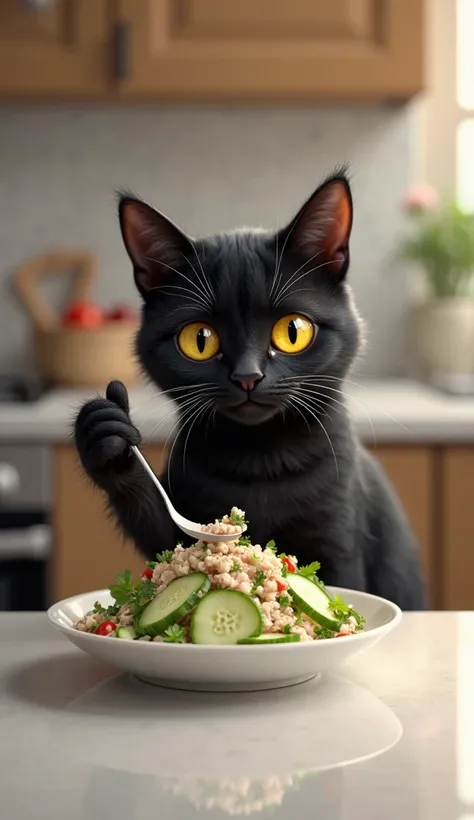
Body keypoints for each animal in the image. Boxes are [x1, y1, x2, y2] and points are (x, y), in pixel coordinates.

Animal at [75, 171, 426, 608]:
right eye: (200, 339)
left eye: (293, 331)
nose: (247, 375)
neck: (259, 458)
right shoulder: (175, 525)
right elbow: (158, 533)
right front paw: (105, 431)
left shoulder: (340, 537)